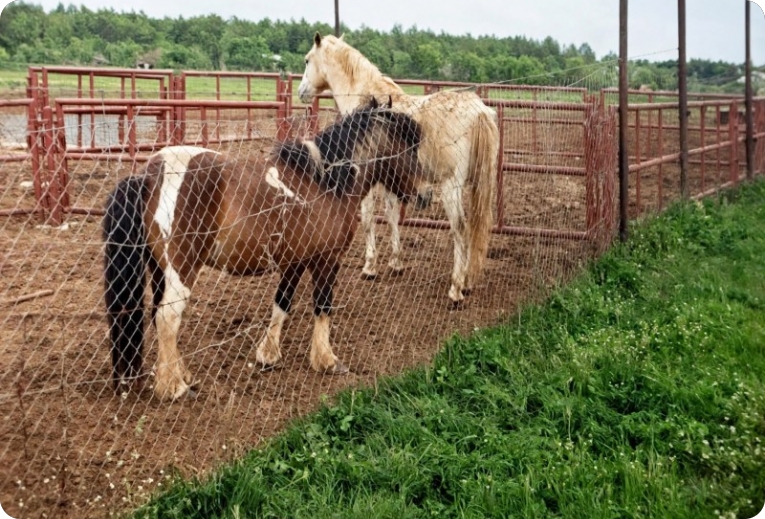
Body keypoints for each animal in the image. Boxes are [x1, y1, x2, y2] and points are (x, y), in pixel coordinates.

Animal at [103, 99, 428, 401]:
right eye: (409, 149)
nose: (426, 195)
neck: (326, 183)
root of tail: (147, 176)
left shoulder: (295, 262)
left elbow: (281, 304)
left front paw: (268, 354)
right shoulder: (327, 260)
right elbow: (323, 307)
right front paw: (326, 360)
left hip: (160, 270)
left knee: (158, 315)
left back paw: (181, 374)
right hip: (181, 269)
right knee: (168, 319)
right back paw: (174, 387)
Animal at [298, 33, 500, 303]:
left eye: (307, 60)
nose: (301, 92)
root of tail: (479, 112)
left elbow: (368, 219)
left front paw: (370, 266)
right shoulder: (390, 181)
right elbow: (392, 215)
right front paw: (396, 263)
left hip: (451, 187)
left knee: (460, 228)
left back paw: (456, 288)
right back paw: (467, 281)